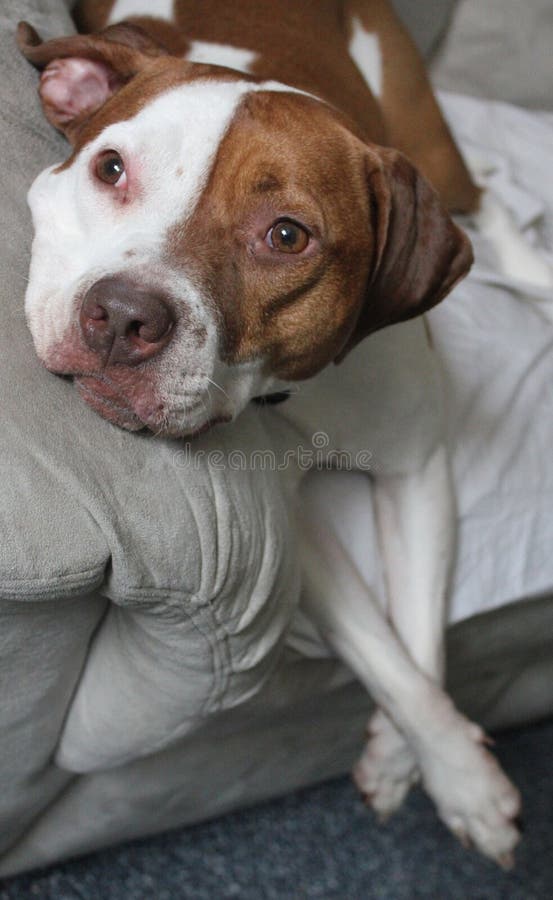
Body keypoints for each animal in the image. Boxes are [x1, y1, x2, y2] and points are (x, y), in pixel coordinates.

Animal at [19, 1, 520, 872]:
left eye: (287, 237)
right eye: (110, 169)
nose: (121, 317)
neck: (304, 388)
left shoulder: (418, 469)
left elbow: (420, 641)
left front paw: (439, 770)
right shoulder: (299, 534)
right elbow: (384, 650)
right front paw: (445, 767)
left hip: (431, 146)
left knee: (487, 198)